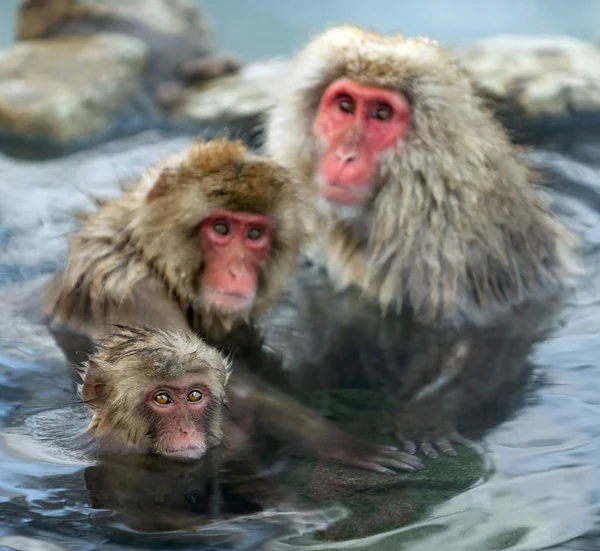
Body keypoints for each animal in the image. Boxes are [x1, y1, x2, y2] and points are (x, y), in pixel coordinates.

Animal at [41, 139, 422, 474]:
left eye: (254, 234)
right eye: (221, 228)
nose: (238, 272)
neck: (148, 253)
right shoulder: (134, 290)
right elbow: (233, 385)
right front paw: (342, 443)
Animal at [264, 29, 580, 462]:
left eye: (382, 114)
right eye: (345, 106)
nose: (344, 155)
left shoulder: (455, 243)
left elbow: (489, 331)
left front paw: (426, 412)